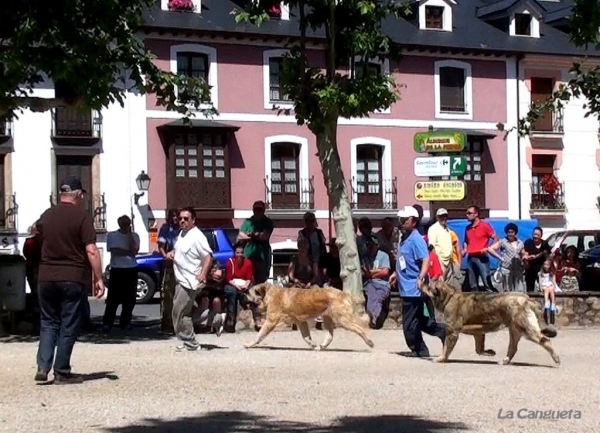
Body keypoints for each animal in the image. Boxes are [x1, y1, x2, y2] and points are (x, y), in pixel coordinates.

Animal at [420, 282, 560, 366]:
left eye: (428, 284)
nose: (422, 281)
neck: (449, 296)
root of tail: (527, 298)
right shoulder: (478, 333)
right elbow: (479, 349)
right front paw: (489, 352)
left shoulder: (452, 332)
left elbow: (446, 348)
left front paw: (441, 358)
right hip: (515, 330)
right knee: (513, 348)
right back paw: (505, 360)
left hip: (526, 329)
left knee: (545, 340)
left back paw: (556, 359)